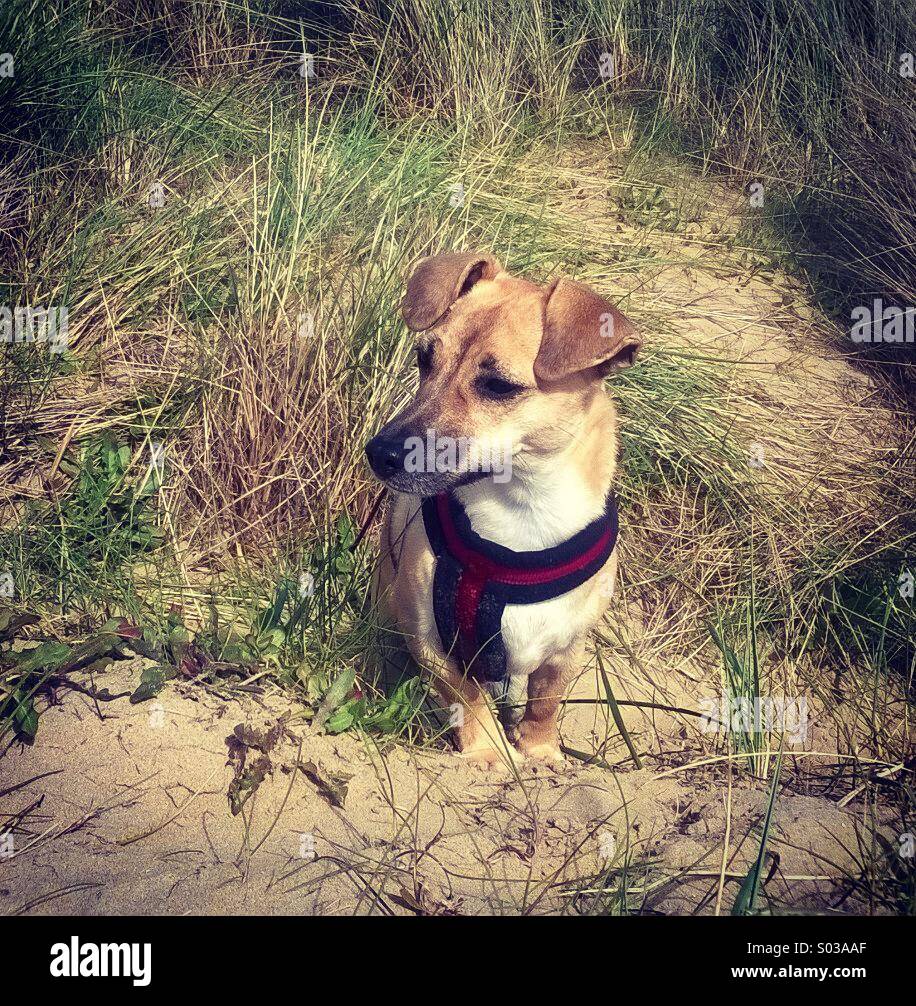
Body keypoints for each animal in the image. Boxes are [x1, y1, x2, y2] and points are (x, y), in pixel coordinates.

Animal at [363, 253, 639, 768]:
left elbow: (546, 700)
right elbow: (466, 697)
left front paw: (540, 750)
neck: (523, 511)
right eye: (424, 359)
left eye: (498, 386)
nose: (379, 452)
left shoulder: (568, 647)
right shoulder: (431, 638)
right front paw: (490, 752)